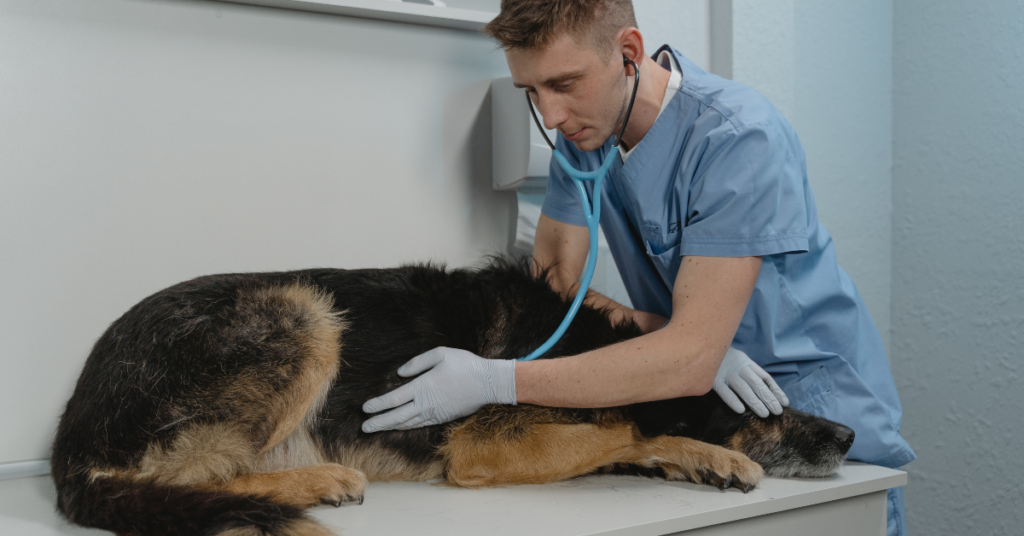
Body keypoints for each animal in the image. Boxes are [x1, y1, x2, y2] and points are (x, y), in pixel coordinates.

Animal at [54, 258, 856, 532]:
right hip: (304, 311)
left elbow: (624, 436)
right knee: (188, 476)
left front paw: (697, 459)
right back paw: (314, 481)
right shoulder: (483, 444)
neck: (590, 348)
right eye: (764, 409)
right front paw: (701, 449)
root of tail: (70, 443)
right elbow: (624, 426)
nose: (848, 438)